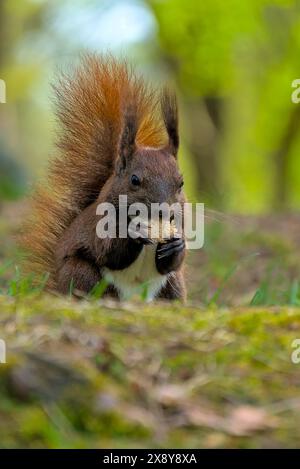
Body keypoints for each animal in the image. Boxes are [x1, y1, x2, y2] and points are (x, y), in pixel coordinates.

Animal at [23, 54, 186, 302]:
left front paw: (177, 245)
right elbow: (109, 252)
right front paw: (134, 233)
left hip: (173, 285)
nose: (164, 212)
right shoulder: (98, 228)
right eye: (134, 180)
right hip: (81, 273)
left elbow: (172, 263)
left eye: (181, 183)